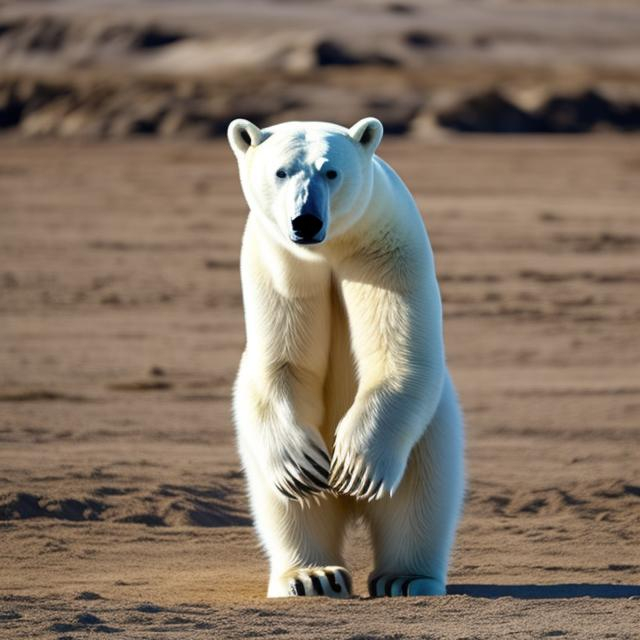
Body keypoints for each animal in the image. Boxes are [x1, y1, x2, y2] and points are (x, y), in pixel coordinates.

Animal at [228, 116, 462, 600]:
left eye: (331, 171)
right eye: (281, 171)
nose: (306, 220)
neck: (329, 250)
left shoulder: (386, 253)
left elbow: (399, 355)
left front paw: (356, 465)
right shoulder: (278, 266)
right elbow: (283, 364)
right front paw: (303, 466)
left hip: (428, 433)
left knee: (421, 495)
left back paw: (404, 577)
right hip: (260, 454)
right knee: (289, 505)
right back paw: (311, 576)